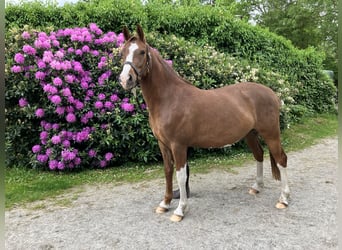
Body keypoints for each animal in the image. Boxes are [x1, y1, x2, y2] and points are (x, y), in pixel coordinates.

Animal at [119, 24, 290, 221]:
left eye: (141, 51)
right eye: (123, 52)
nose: (125, 79)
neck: (169, 98)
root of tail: (272, 93)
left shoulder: (178, 145)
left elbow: (180, 175)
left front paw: (180, 210)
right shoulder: (163, 144)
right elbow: (168, 171)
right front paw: (165, 204)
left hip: (271, 133)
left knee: (281, 159)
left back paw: (284, 199)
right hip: (250, 134)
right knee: (259, 155)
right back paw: (256, 187)